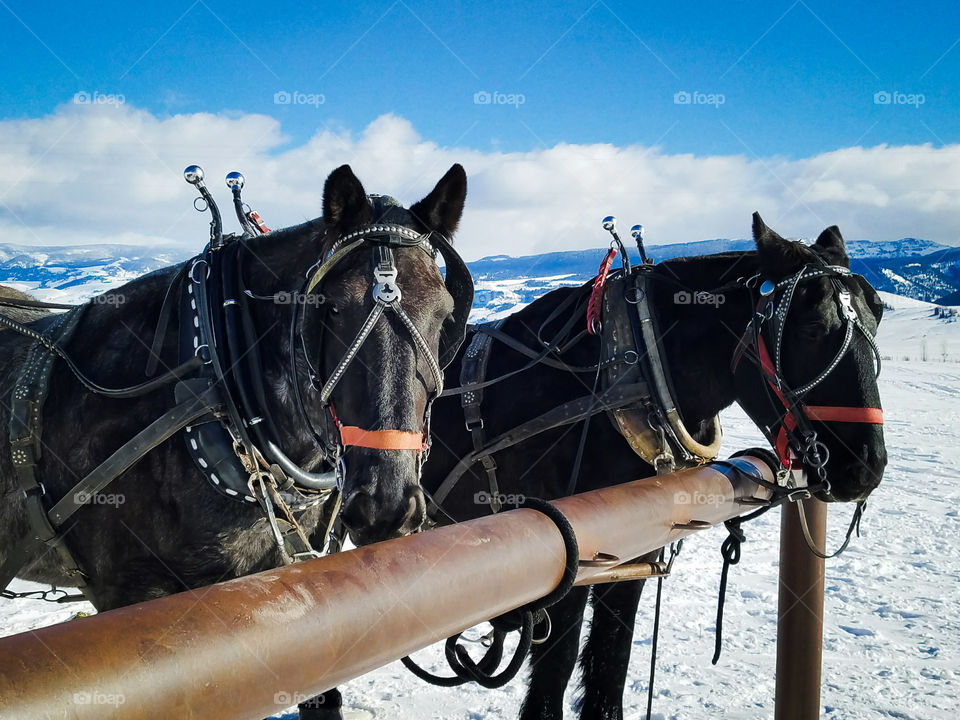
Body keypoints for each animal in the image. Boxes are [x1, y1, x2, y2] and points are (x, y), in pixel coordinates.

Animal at [411, 213, 886, 719]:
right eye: (812, 327)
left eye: (878, 315)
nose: (868, 466)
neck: (633, 369)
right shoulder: (564, 560)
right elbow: (556, 669)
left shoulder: (633, 551)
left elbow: (610, 661)